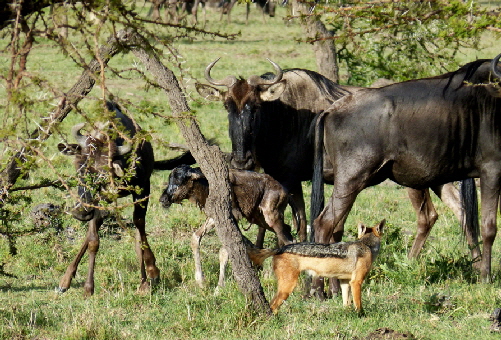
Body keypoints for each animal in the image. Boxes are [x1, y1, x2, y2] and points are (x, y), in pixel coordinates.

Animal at [158, 165, 294, 286]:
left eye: (178, 180)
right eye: (170, 179)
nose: (162, 199)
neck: (205, 185)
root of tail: (285, 191)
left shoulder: (231, 217)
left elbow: (225, 250)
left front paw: (219, 288)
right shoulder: (214, 217)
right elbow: (195, 238)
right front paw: (200, 281)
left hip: (271, 216)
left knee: (288, 240)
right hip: (260, 219)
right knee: (286, 232)